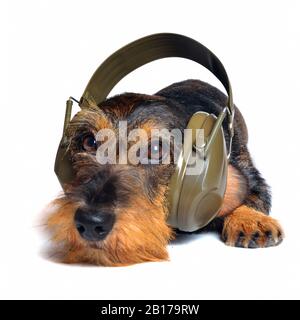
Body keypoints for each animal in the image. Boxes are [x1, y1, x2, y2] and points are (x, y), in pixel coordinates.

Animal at [46, 79, 284, 264]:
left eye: (155, 149)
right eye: (89, 141)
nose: (90, 222)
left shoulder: (249, 173)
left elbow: (252, 193)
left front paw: (251, 220)